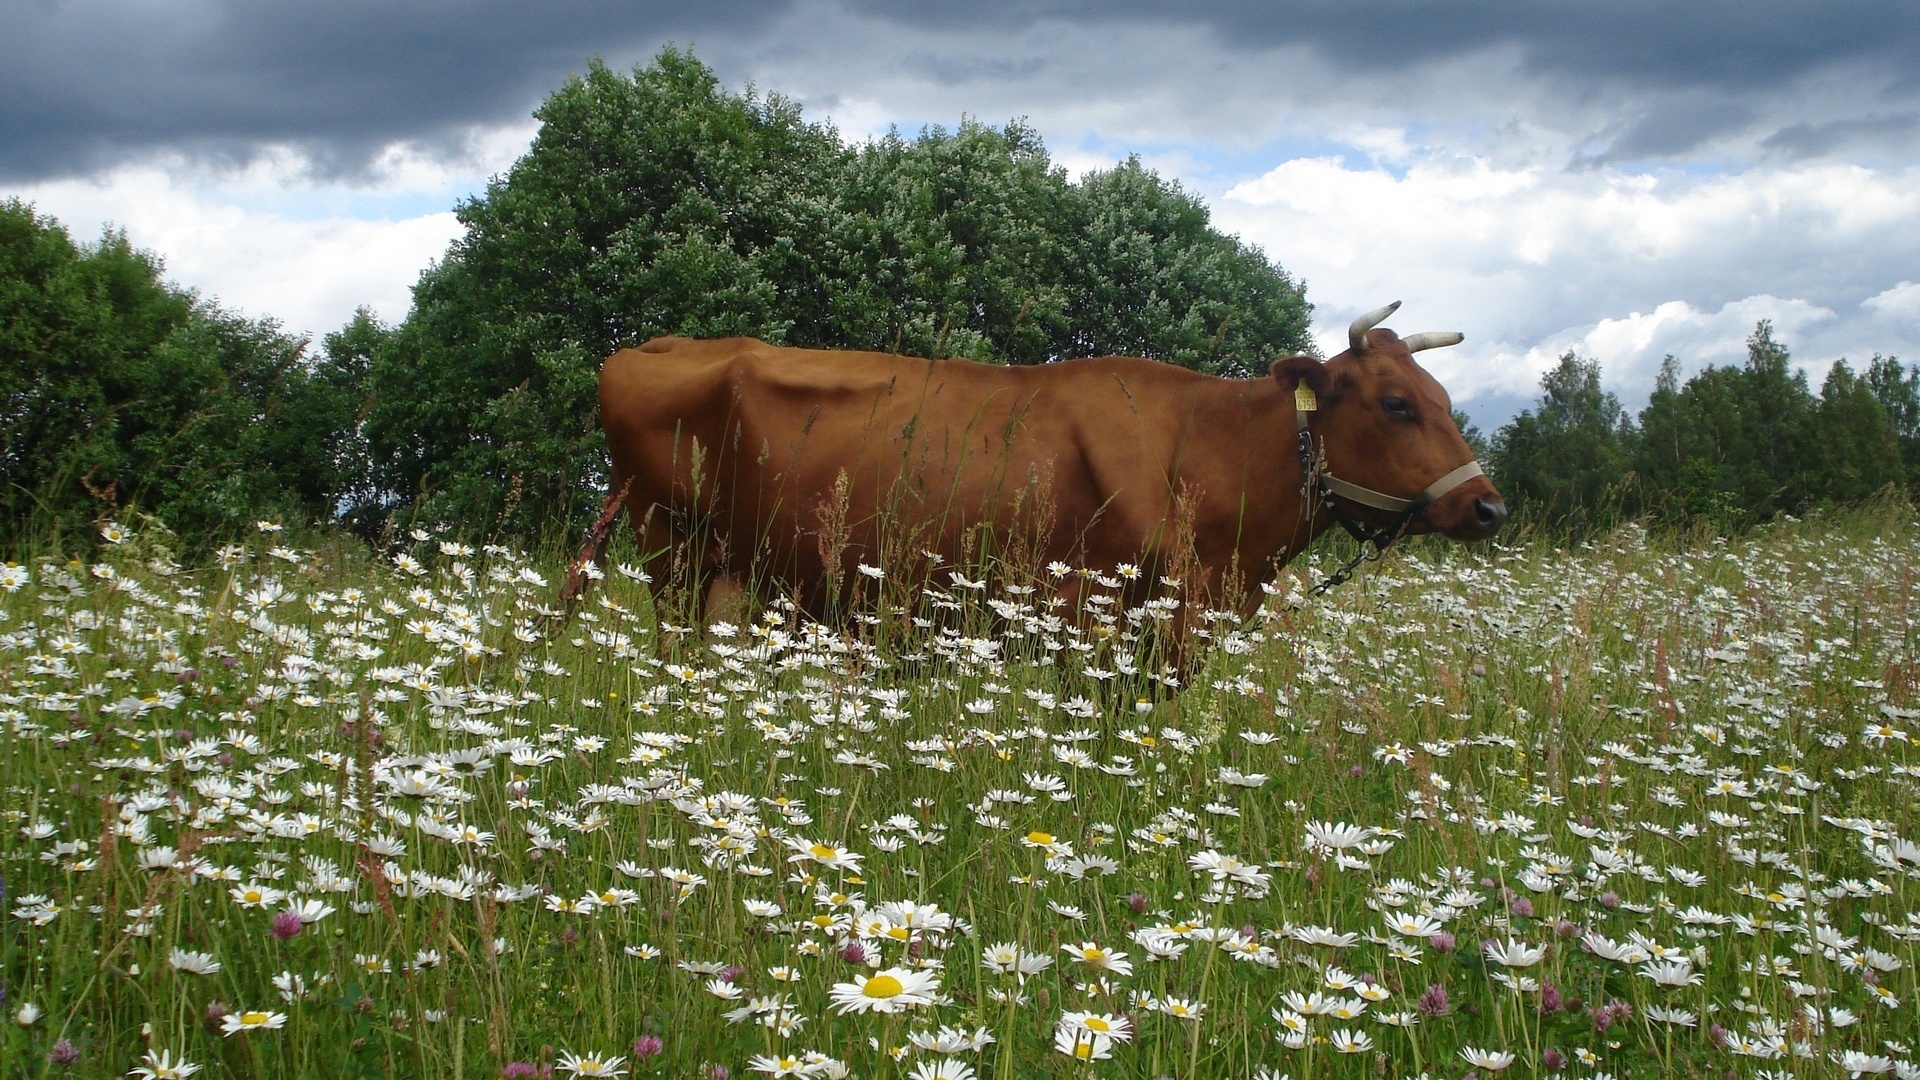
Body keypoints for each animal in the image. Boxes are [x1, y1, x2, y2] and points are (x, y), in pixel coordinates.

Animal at [564, 297, 1497, 641]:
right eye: (1396, 404)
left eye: (1443, 394)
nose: (1487, 506)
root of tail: (658, 343)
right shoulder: (1093, 615)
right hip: (674, 553)